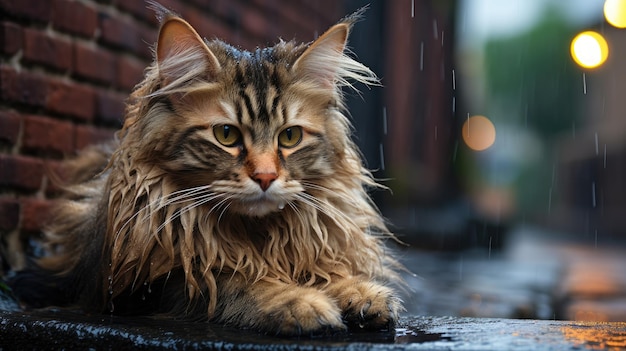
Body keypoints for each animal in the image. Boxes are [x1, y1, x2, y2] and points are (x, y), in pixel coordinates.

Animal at [11, 2, 404, 336]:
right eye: (226, 134)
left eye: (290, 136)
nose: (265, 177)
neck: (257, 237)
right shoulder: (143, 287)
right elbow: (236, 282)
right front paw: (298, 301)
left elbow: (327, 270)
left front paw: (358, 293)